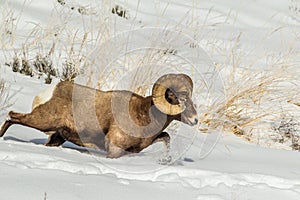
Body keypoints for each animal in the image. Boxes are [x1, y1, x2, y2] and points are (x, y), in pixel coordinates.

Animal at [0, 73, 198, 159]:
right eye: (181, 98)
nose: (195, 120)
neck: (145, 115)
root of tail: (50, 92)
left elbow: (166, 137)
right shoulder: (114, 149)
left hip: (57, 136)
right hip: (42, 121)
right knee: (12, 116)